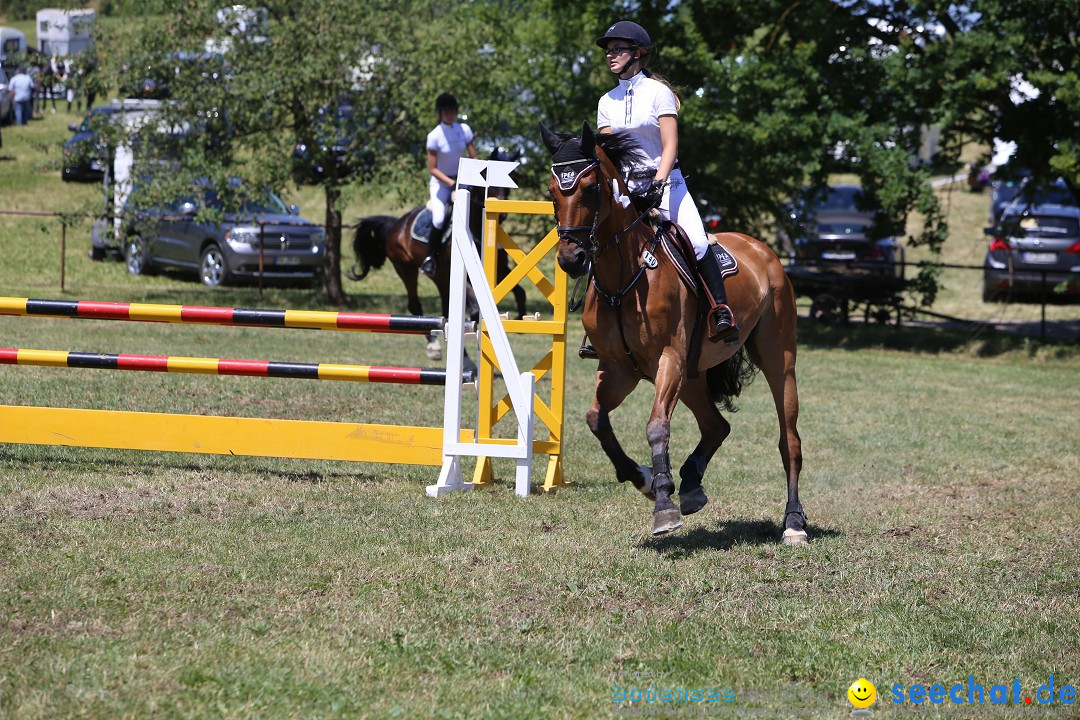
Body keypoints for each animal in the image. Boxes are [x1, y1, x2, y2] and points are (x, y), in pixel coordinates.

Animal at [349, 148, 527, 360]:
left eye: (511, 181)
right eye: (487, 178)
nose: (502, 213)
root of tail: (396, 224)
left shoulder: (499, 270)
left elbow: (520, 293)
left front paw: (520, 319)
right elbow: (475, 309)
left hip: (441, 277)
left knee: (446, 311)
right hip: (406, 269)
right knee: (415, 305)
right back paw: (434, 347)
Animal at [544, 124, 807, 544]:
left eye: (589, 187)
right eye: (553, 190)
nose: (571, 259)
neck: (625, 275)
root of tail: (761, 249)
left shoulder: (668, 358)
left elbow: (656, 427)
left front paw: (664, 505)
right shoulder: (619, 370)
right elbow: (596, 419)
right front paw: (645, 480)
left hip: (776, 357)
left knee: (789, 440)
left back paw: (794, 521)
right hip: (692, 375)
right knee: (717, 425)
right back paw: (691, 484)